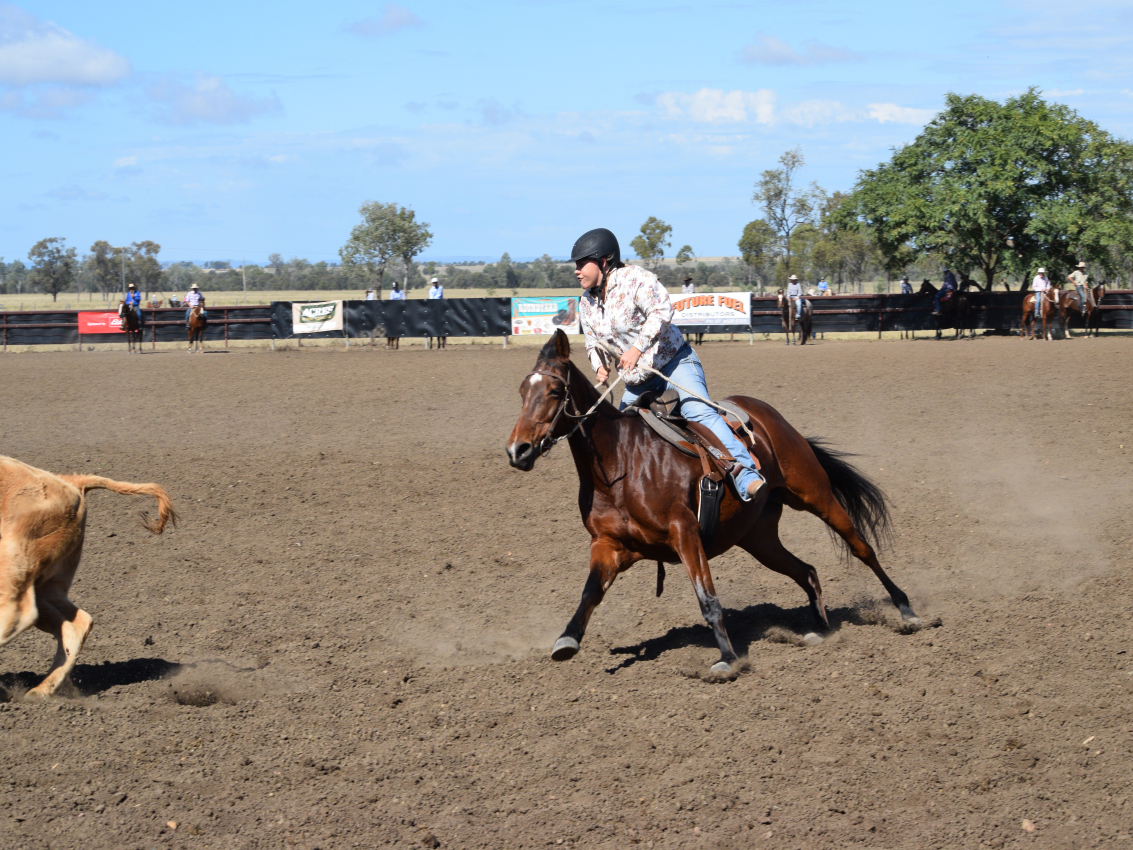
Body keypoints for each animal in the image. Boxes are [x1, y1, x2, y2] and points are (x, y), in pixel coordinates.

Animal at [0, 456, 176, 699]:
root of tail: (70, 482)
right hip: (47, 585)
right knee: (75, 625)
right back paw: (41, 690)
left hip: (15, 555)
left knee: (20, 614)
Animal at [506, 330, 922, 677]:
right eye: (523, 391)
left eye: (555, 391)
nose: (517, 450)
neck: (622, 462)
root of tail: (768, 417)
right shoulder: (608, 544)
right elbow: (590, 592)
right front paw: (567, 639)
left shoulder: (685, 533)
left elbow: (708, 599)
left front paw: (727, 658)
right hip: (758, 537)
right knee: (806, 571)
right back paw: (822, 629)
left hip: (814, 494)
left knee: (862, 548)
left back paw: (907, 611)